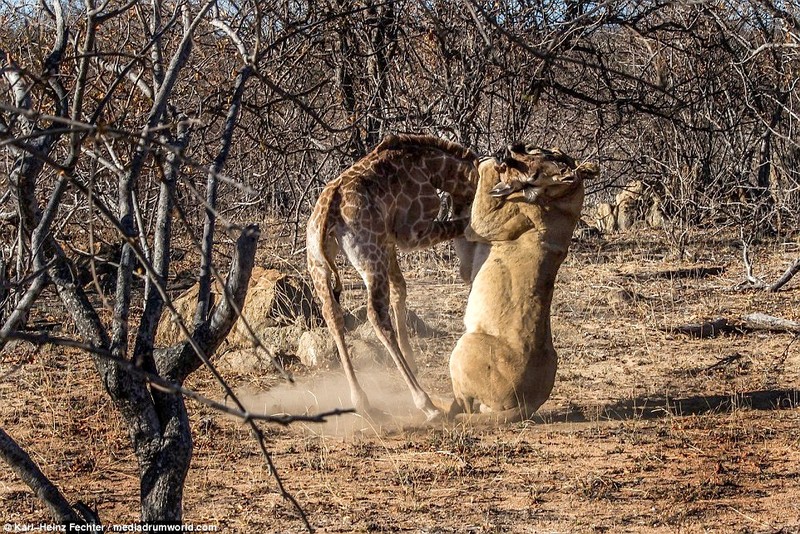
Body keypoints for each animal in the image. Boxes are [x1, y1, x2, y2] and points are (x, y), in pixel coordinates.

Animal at [306, 134, 482, 422]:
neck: (432, 167)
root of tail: (328, 211)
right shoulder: (411, 233)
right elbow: (462, 224)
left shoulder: (388, 240)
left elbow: (401, 287)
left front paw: (411, 358)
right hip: (370, 259)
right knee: (376, 315)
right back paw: (426, 404)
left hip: (319, 264)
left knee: (332, 314)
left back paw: (363, 402)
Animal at [446, 144, 596, 426]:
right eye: (539, 149)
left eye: (541, 159)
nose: (512, 147)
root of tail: (529, 405)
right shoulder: (469, 260)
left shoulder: (484, 223)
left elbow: (481, 197)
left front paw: (488, 163)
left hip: (467, 345)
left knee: (466, 406)